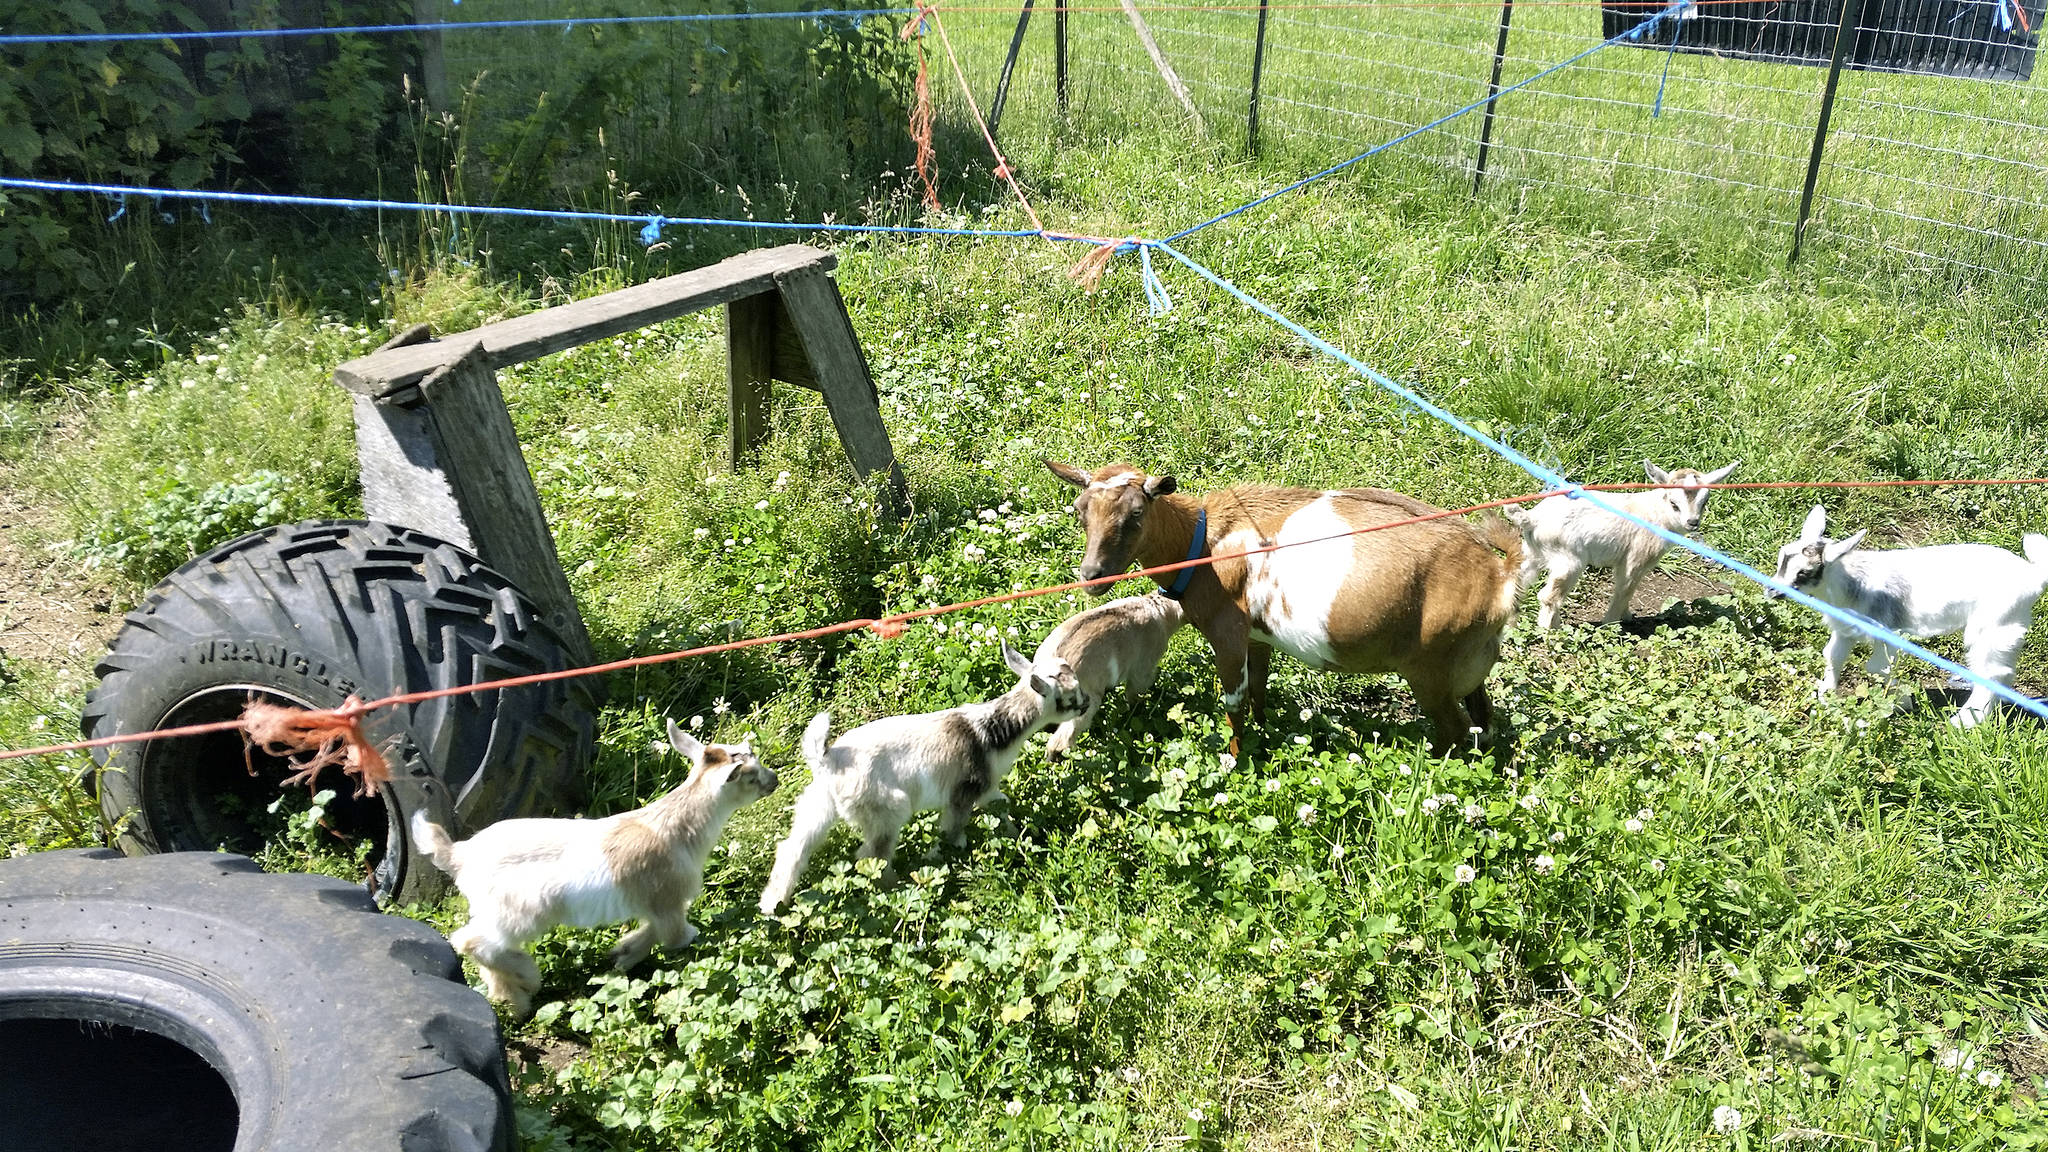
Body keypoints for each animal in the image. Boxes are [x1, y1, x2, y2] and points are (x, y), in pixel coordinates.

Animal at [1056, 457, 1523, 754]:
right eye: (1080, 511)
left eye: (1136, 514)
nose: (1092, 574)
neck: (1201, 543)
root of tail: (1498, 575)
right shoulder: (1257, 635)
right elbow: (1259, 689)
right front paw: (1263, 736)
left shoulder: (1227, 636)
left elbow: (1234, 703)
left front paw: (1236, 759)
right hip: (1463, 666)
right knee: (1481, 719)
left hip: (1430, 672)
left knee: (1455, 731)